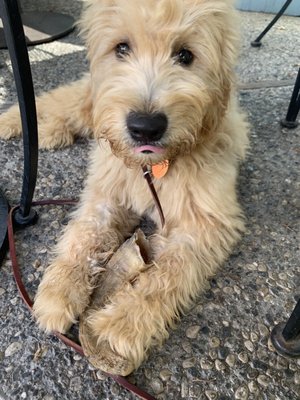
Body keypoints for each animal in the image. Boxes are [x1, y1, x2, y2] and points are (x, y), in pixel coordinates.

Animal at [0, 0, 248, 376]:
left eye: (186, 55)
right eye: (121, 48)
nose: (145, 127)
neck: (153, 167)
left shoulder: (204, 224)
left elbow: (166, 276)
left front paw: (119, 327)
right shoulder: (106, 191)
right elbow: (84, 233)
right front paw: (60, 288)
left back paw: (52, 133)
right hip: (87, 99)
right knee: (54, 101)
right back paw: (15, 122)